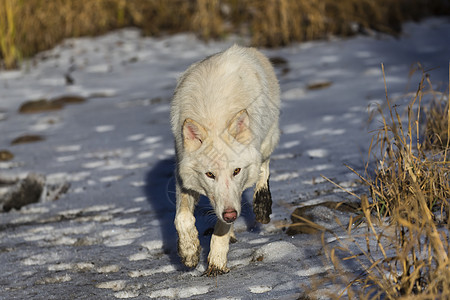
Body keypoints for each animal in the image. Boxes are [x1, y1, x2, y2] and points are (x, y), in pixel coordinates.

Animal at [171, 44, 280, 274]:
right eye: (210, 174)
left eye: (236, 171)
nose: (230, 214)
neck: (214, 118)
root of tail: (245, 48)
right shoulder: (182, 174)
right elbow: (182, 218)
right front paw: (189, 252)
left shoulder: (234, 196)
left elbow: (221, 228)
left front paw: (217, 262)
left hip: (267, 140)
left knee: (263, 167)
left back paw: (262, 205)